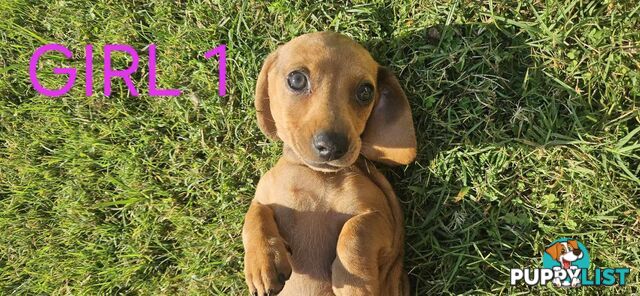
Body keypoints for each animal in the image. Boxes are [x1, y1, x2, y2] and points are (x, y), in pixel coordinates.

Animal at [242, 31, 418, 296]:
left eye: (365, 91)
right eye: (296, 79)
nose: (333, 145)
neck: (316, 177)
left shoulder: (381, 217)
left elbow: (355, 232)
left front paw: (355, 284)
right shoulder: (264, 193)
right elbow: (254, 214)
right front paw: (263, 264)